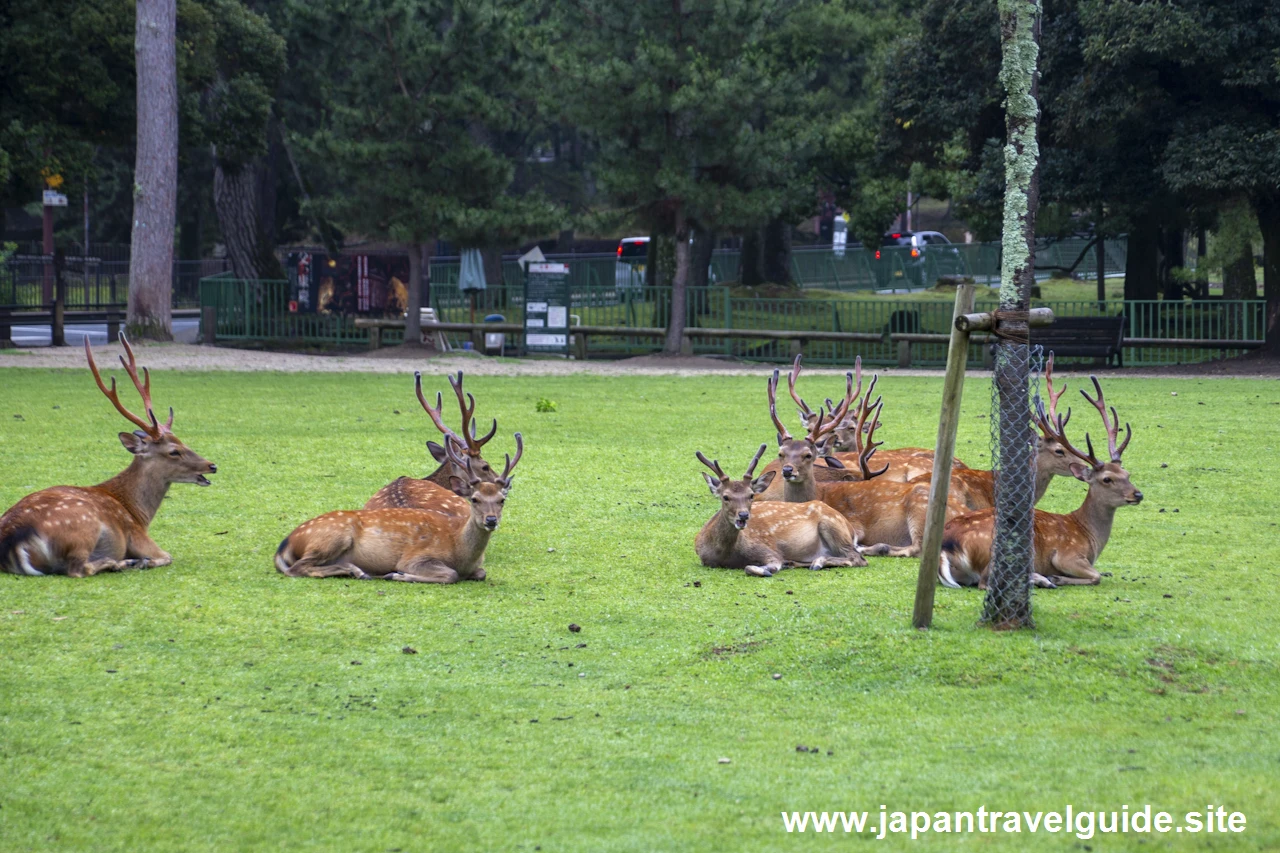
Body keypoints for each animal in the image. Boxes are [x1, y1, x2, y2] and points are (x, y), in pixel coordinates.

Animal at [0, 335, 217, 573]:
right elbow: (168, 556)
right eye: (174, 452)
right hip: (83, 528)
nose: (212, 465)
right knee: (78, 569)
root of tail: (12, 540)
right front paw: (142, 561)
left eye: (182, 442)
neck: (137, 513)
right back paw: (123, 563)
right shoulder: (137, 535)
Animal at [277, 427, 522, 581]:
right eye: (485, 465)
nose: (491, 520)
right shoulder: (415, 559)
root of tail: (285, 543)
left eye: (501, 500)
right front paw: (397, 574)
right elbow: (449, 575)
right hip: (333, 537)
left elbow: (479, 573)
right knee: (296, 568)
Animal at [696, 440, 865, 573]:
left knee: (858, 558)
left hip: (833, 525)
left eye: (751, 495)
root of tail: (850, 529)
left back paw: (817, 562)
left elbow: (755, 567)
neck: (725, 554)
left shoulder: (768, 549)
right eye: (725, 497)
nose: (743, 515)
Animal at [936, 376, 1146, 589]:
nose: (1138, 494)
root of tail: (946, 546)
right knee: (986, 581)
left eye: (1127, 474)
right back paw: (1042, 579)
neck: (1089, 535)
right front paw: (1057, 578)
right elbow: (1097, 576)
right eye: (1107, 479)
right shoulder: (1067, 554)